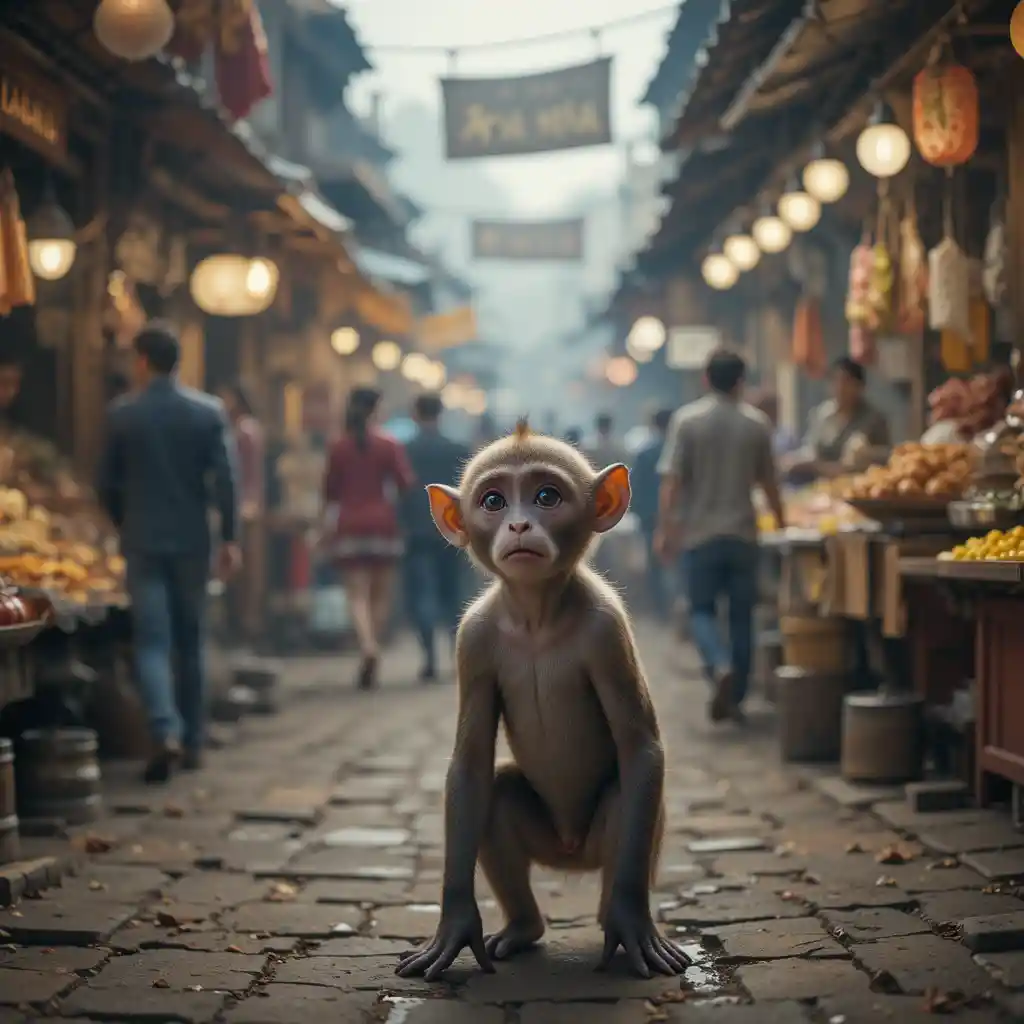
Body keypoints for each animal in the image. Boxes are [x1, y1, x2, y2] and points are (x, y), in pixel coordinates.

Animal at [396, 419, 687, 982]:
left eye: (546, 496)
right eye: (492, 501)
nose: (518, 525)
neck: (536, 616)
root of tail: (570, 854)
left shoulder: (607, 629)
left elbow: (641, 748)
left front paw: (633, 922)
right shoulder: (472, 640)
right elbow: (470, 765)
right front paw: (454, 926)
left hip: (602, 844)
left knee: (626, 796)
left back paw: (612, 919)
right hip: (545, 837)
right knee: (498, 791)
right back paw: (522, 927)